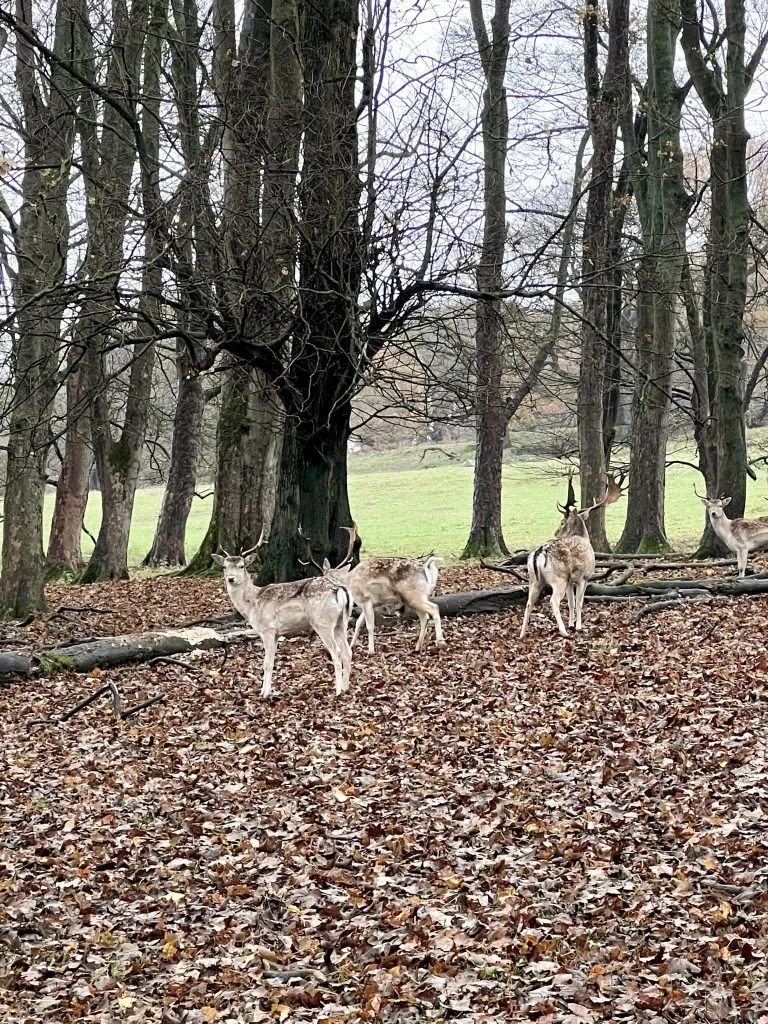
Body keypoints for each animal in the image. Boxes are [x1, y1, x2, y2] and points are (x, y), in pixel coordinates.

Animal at [211, 529, 354, 698]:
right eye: (224, 567)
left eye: (241, 566)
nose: (231, 579)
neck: (252, 604)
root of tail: (340, 589)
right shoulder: (277, 633)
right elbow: (272, 661)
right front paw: (265, 691)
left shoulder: (268, 630)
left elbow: (266, 663)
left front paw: (265, 694)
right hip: (341, 623)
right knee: (347, 651)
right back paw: (346, 688)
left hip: (322, 623)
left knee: (336, 652)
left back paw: (337, 691)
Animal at [299, 524, 445, 654]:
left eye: (325, 577)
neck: (350, 582)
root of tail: (427, 567)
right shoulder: (370, 604)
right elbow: (358, 623)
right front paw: (351, 646)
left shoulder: (366, 600)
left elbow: (369, 625)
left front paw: (370, 650)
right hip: (414, 598)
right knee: (424, 616)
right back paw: (418, 647)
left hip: (414, 595)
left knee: (434, 608)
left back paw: (440, 642)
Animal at [520, 471, 627, 638]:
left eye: (562, 522)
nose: (556, 533)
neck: (584, 538)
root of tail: (539, 553)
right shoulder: (584, 577)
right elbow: (579, 602)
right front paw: (577, 626)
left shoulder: (571, 581)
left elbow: (570, 602)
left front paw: (571, 623)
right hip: (559, 578)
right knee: (553, 601)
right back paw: (563, 631)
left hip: (534, 580)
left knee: (529, 602)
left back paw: (522, 634)